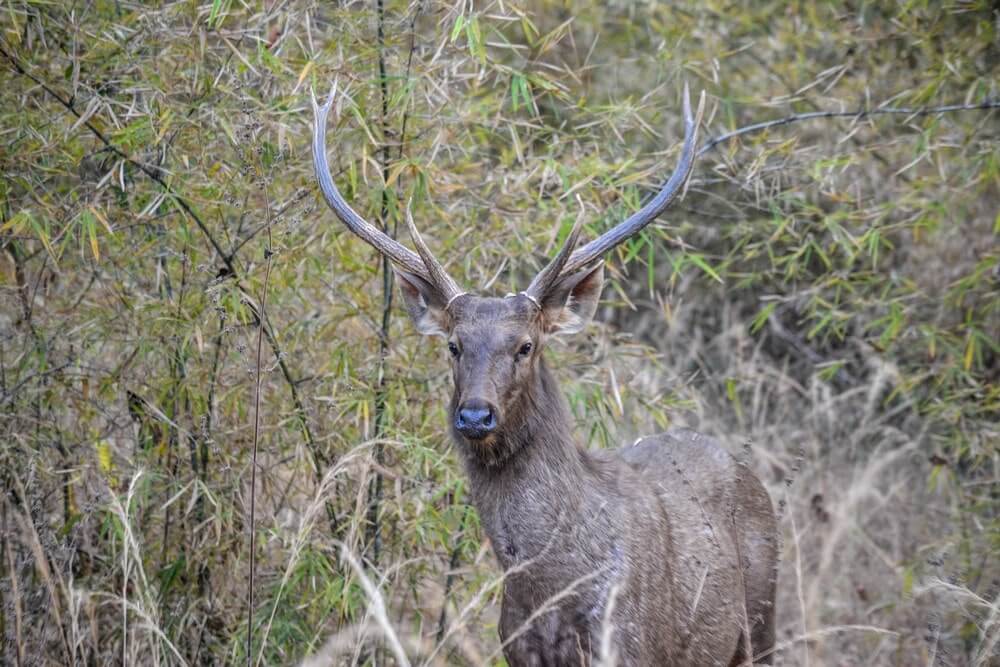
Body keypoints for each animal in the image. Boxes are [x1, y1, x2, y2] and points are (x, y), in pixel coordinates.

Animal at [308, 85, 776, 667]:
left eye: (526, 346)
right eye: (454, 346)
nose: (475, 415)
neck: (550, 589)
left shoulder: (628, 644)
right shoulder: (516, 647)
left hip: (762, 624)